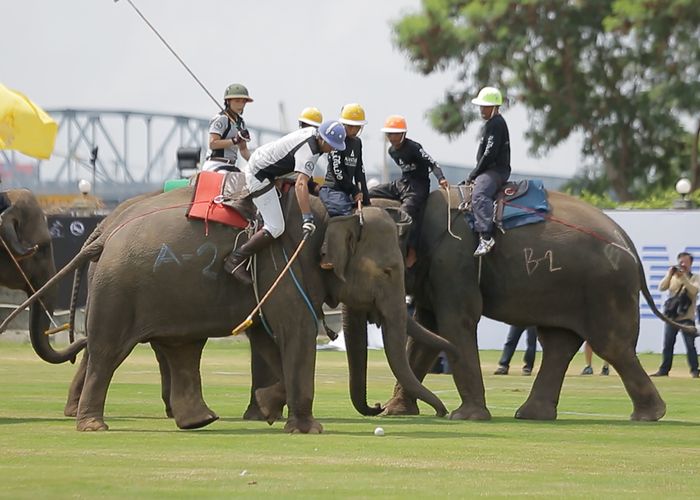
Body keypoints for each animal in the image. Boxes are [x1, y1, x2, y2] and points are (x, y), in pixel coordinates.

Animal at [9, 186, 454, 432]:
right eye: (389, 270)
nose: (379, 407)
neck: (331, 211)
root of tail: (103, 231)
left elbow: (268, 339)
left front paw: (268, 408)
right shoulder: (284, 262)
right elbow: (296, 332)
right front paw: (307, 428)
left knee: (181, 350)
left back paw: (199, 420)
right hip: (118, 288)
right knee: (107, 352)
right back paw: (93, 425)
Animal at [366, 188, 688, 422]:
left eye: (387, 268)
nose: (377, 405)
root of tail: (628, 242)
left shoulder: (455, 261)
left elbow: (455, 323)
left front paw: (466, 417)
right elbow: (427, 333)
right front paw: (396, 412)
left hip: (605, 287)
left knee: (611, 345)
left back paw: (648, 416)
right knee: (559, 343)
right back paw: (533, 414)